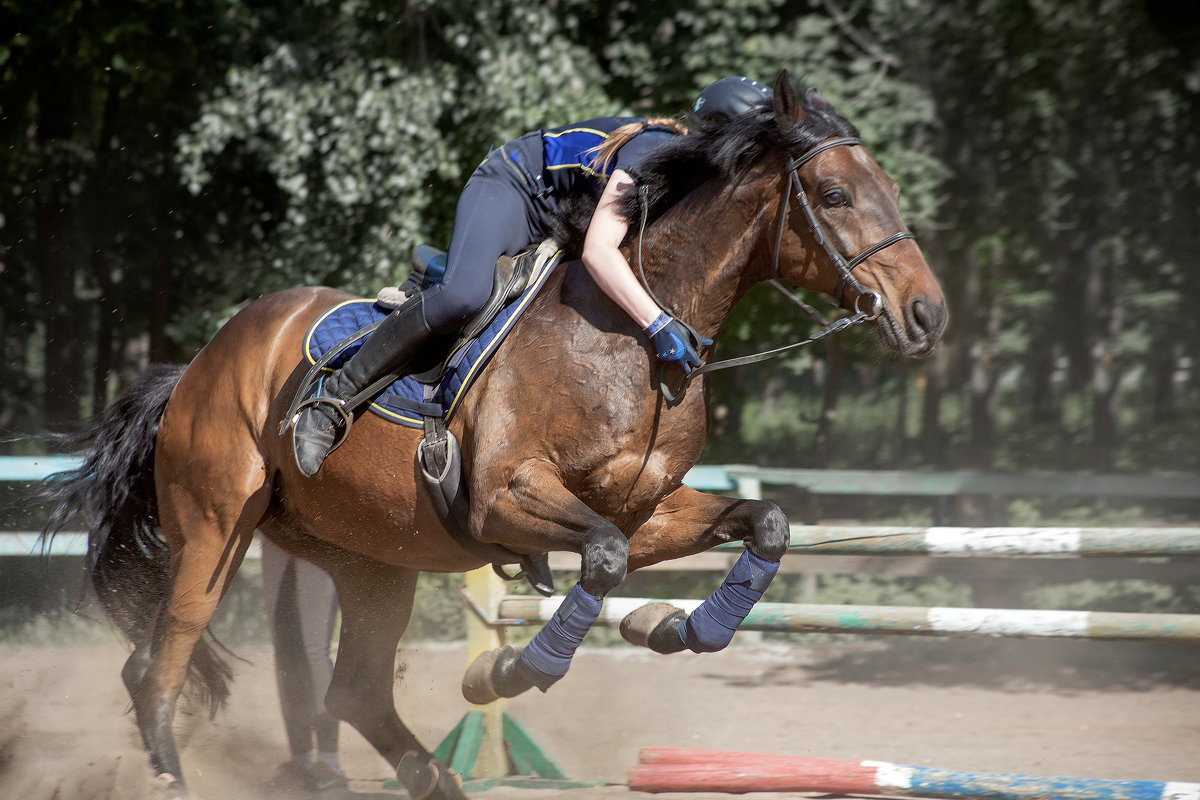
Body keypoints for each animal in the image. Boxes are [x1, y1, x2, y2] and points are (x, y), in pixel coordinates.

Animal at [39, 71, 945, 796]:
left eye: (892, 188)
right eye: (835, 196)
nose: (926, 316)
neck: (641, 330)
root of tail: (198, 364)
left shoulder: (649, 506)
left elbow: (764, 525)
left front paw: (681, 629)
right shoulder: (504, 500)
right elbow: (603, 559)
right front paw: (515, 667)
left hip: (369, 559)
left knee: (351, 690)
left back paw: (437, 779)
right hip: (213, 528)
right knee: (159, 667)